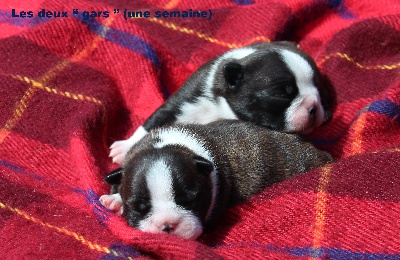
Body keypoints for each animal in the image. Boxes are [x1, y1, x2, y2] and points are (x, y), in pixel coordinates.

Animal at [110, 41, 334, 164]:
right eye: (283, 94)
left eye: (320, 90)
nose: (315, 107)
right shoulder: (188, 98)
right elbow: (155, 120)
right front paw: (126, 146)